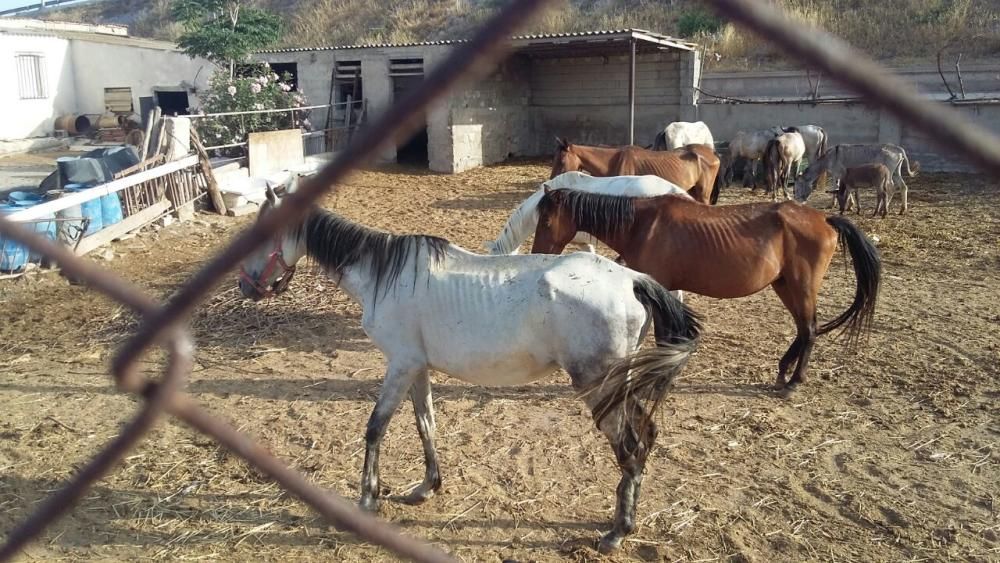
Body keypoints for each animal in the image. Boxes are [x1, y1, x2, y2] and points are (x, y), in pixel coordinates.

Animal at [238, 186, 700, 556]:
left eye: (259, 232)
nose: (244, 286)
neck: (384, 274)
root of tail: (633, 280)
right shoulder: (417, 368)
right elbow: (425, 423)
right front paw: (426, 487)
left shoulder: (400, 364)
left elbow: (375, 427)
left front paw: (367, 499)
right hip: (621, 383)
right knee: (644, 436)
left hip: (599, 387)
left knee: (629, 446)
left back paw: (617, 532)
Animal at [528, 187, 880, 390]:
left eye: (546, 221)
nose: (537, 251)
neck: (642, 224)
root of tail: (826, 219)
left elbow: (662, 335)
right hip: (785, 285)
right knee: (804, 329)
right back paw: (783, 372)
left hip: (801, 286)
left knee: (809, 329)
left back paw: (794, 381)